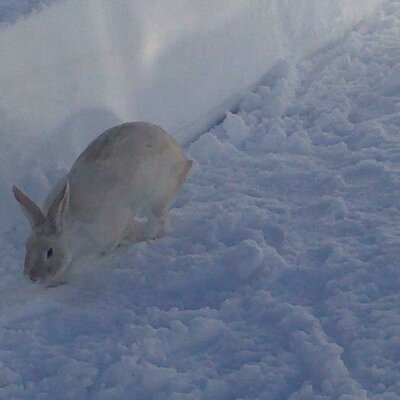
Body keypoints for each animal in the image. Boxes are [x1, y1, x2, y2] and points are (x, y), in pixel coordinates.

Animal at [12, 120, 192, 286]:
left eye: (50, 252)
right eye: (27, 247)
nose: (32, 278)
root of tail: (181, 158)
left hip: (156, 197)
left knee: (157, 219)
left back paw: (146, 236)